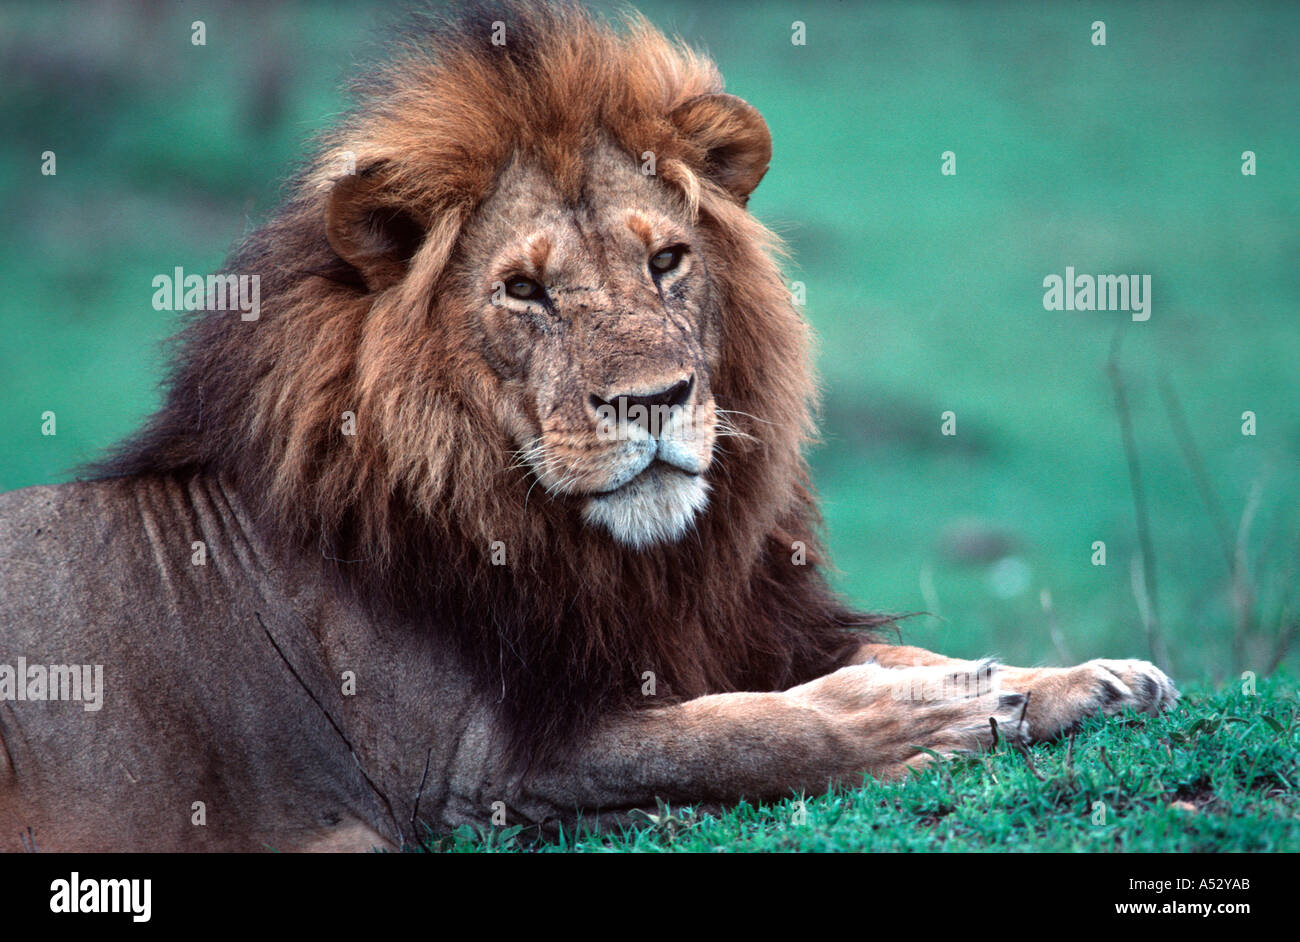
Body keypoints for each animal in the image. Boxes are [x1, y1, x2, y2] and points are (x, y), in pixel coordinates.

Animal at [0, 1, 1176, 852]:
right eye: (525, 292)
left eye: (667, 261)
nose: (654, 398)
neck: (603, 557)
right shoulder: (476, 776)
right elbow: (755, 732)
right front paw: (938, 716)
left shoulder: (712, 629)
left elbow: (871, 661)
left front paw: (1085, 679)